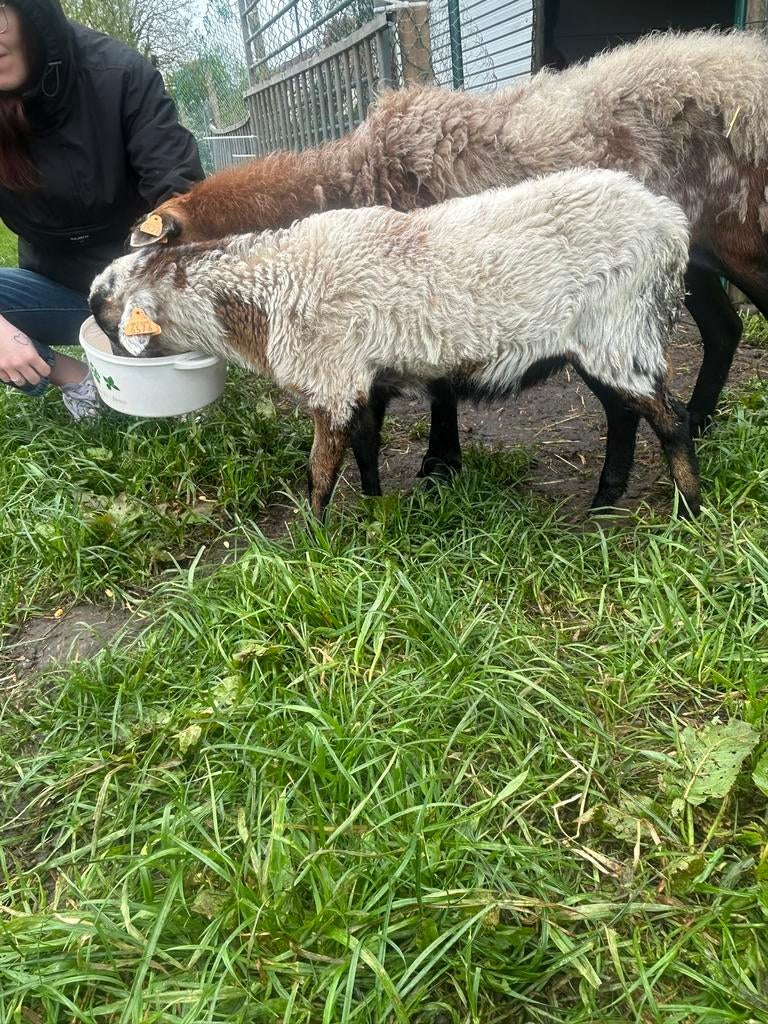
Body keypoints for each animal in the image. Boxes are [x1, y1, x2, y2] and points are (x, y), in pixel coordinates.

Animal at [92, 168, 700, 520]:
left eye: (103, 314)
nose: (115, 363)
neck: (265, 294)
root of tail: (672, 225)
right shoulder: (364, 378)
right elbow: (365, 448)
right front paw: (376, 510)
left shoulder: (331, 380)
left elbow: (319, 471)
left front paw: (313, 543)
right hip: (603, 340)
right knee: (624, 415)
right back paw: (602, 505)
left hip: (622, 328)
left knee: (671, 419)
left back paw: (688, 512)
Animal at [127, 28, 768, 500]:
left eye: (158, 254)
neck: (347, 183)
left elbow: (436, 391)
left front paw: (439, 462)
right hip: (685, 264)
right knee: (722, 330)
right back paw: (695, 422)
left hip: (740, 237)